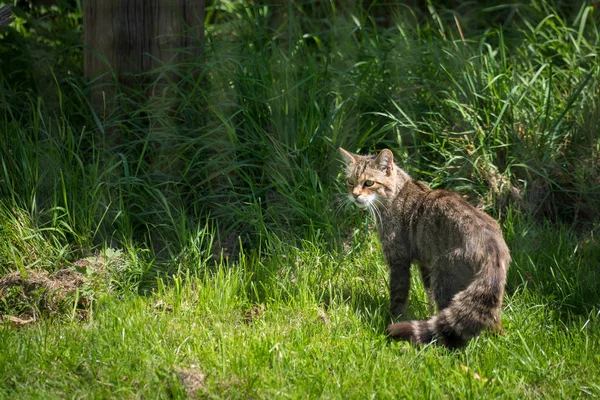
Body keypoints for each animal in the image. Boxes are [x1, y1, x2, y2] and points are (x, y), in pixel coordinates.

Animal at [340, 148, 508, 348]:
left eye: (369, 183)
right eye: (350, 182)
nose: (354, 194)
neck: (397, 192)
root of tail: (493, 250)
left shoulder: (399, 260)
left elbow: (398, 296)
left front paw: (393, 318)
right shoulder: (425, 263)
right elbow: (428, 296)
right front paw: (428, 315)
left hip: (444, 276)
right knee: (491, 320)